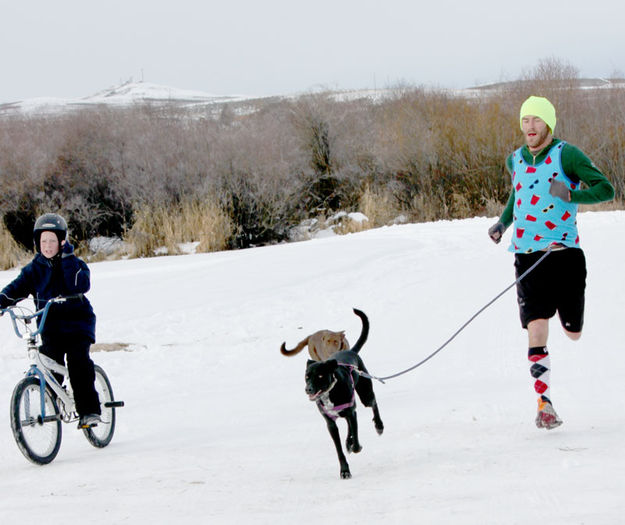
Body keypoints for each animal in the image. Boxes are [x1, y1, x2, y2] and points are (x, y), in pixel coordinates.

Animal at [304, 308, 382, 478]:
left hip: (365, 394)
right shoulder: (330, 424)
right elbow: (339, 450)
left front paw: (354, 446)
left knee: (373, 403)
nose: (308, 389)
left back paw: (379, 425)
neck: (330, 393)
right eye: (307, 376)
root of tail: (351, 351)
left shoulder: (352, 412)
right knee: (348, 425)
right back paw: (348, 441)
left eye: (320, 376)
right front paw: (344, 470)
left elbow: (356, 441)